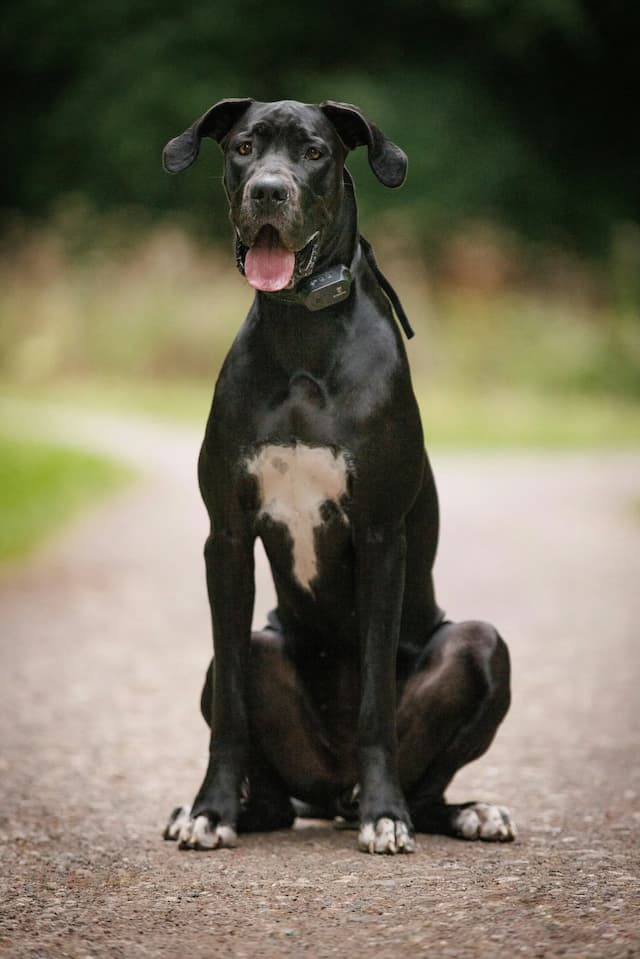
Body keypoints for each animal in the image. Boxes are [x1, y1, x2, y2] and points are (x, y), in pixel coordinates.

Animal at [161, 99, 516, 856]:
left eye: (316, 152)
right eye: (243, 147)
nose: (269, 191)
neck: (302, 334)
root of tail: (332, 790)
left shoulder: (380, 535)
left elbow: (376, 698)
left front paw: (388, 816)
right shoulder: (225, 538)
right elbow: (230, 709)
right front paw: (209, 810)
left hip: (481, 647)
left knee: (426, 784)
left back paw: (446, 810)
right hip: (260, 651)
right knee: (271, 788)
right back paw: (230, 809)